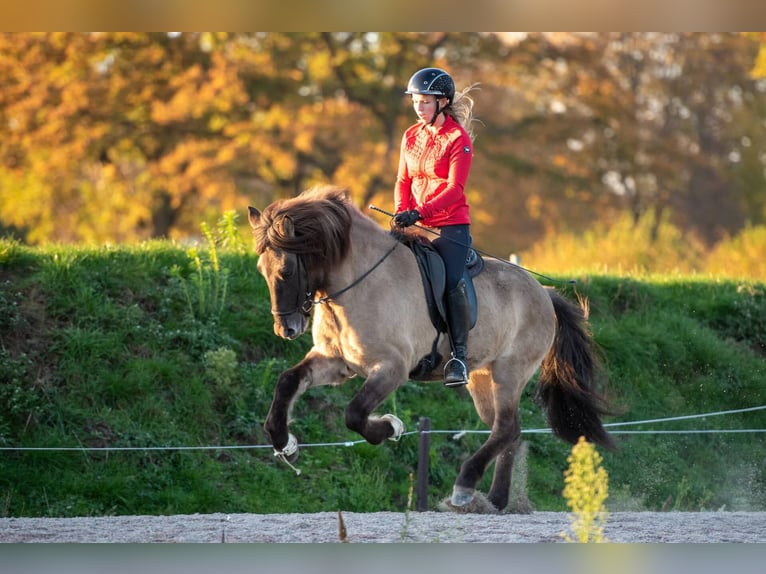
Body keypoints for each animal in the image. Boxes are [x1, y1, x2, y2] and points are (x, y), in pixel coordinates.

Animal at [248, 185, 615, 513]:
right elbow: (288, 382)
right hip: (482, 379)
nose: (286, 330)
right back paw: (495, 500)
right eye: (261, 271)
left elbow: (354, 414)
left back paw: (464, 488)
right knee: (508, 430)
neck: (359, 283)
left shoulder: (391, 368)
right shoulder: (335, 362)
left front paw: (391, 427)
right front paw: (286, 445)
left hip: (509, 373)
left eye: (286, 270)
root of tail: (544, 293)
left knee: (506, 428)